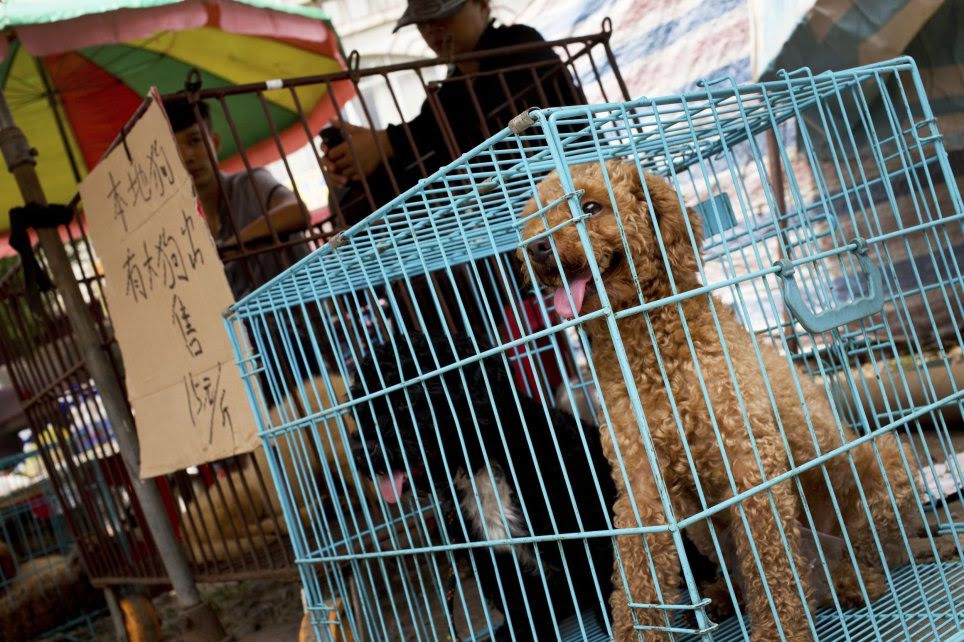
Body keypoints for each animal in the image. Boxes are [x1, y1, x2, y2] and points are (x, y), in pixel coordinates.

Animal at [352, 332, 616, 636]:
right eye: (360, 410)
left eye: (406, 400)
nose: (362, 449)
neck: (480, 465)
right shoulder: (495, 560)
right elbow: (519, 603)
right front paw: (522, 630)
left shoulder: (586, 519)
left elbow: (606, 574)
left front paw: (616, 618)